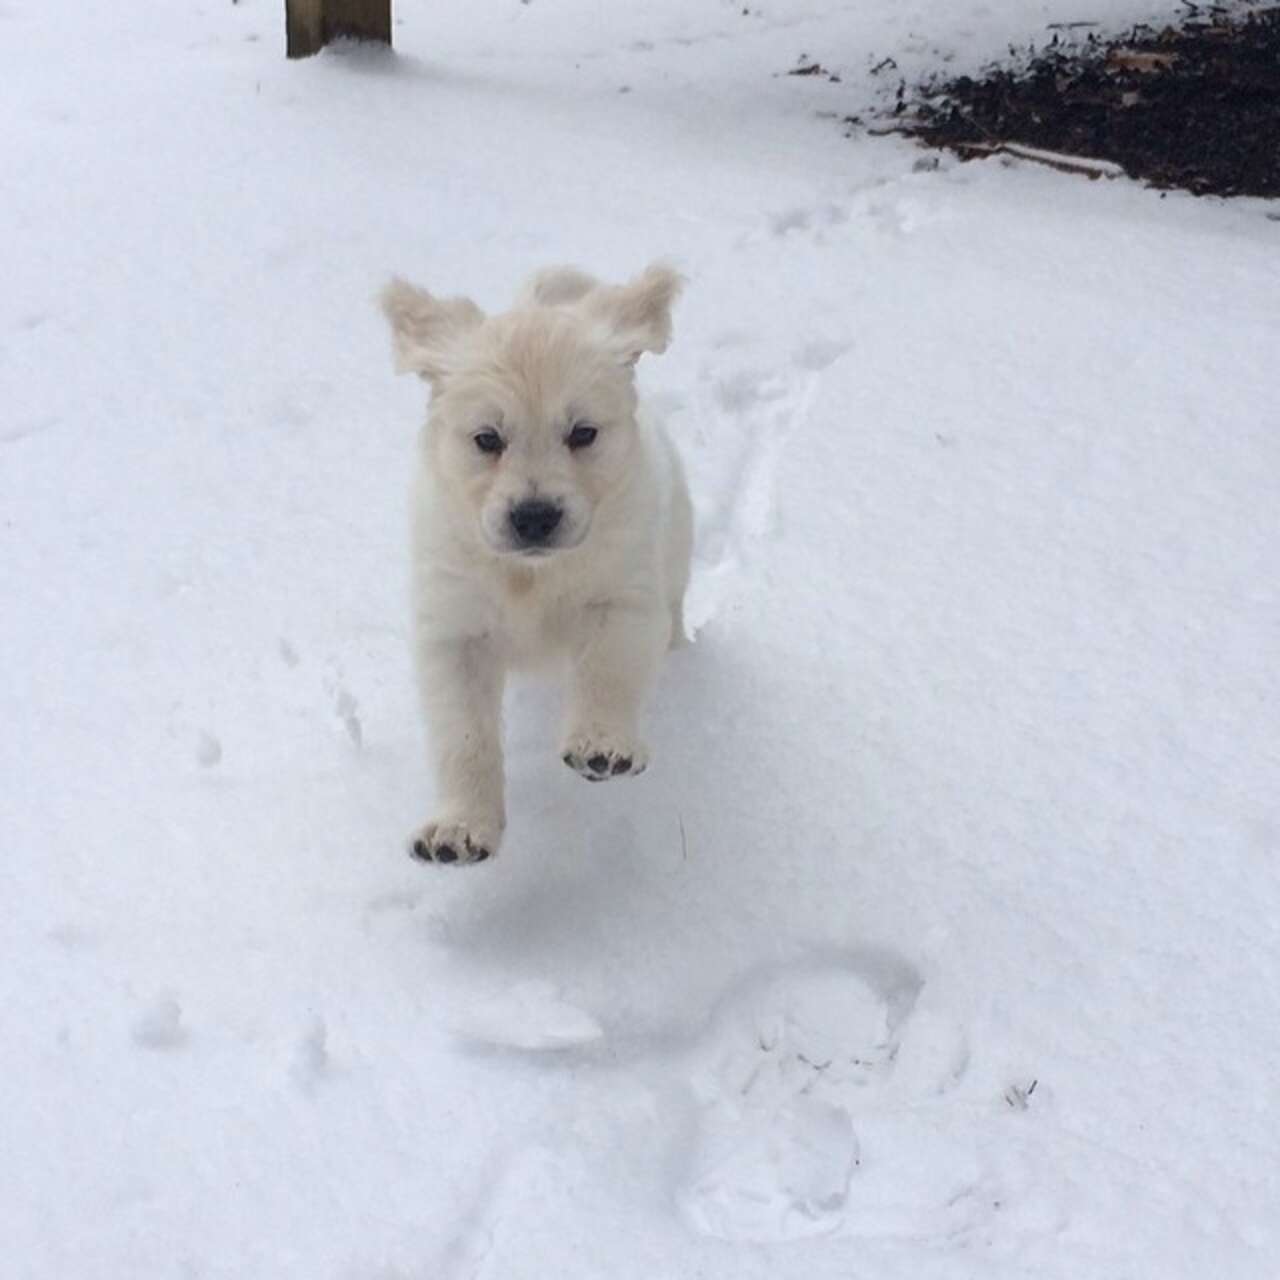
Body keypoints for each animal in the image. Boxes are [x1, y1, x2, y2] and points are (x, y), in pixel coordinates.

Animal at [378, 261, 696, 865]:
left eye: (583, 433)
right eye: (487, 439)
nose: (534, 516)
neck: (531, 574)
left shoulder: (626, 598)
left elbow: (608, 670)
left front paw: (602, 744)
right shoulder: (454, 628)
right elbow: (464, 736)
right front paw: (460, 827)